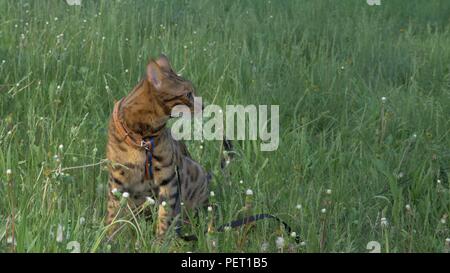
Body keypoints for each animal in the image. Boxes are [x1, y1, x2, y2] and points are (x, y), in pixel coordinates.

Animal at [105, 54, 211, 236]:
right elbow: (113, 215)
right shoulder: (117, 179)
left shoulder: (168, 179)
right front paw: (108, 237)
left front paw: (160, 239)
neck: (143, 136)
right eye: (188, 94)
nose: (203, 106)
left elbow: (164, 216)